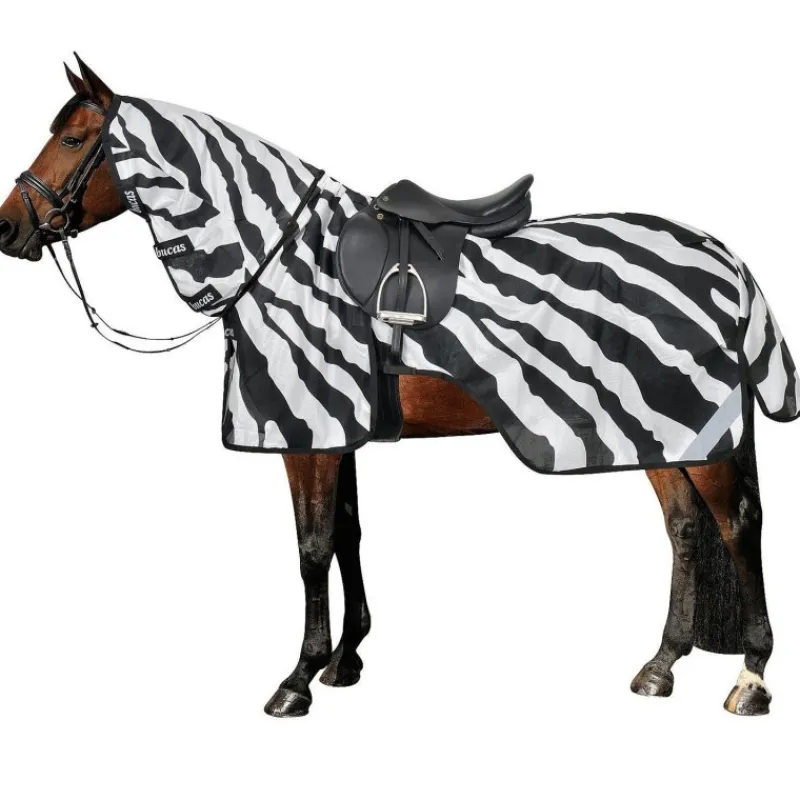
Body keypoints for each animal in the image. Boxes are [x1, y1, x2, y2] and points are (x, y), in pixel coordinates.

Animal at [0, 57, 787, 718]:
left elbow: (312, 546)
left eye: (73, 139)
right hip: (657, 434)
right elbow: (348, 533)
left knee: (736, 525)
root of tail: (727, 262)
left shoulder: (308, 430)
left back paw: (751, 677)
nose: (8, 228)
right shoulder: (342, 429)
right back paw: (661, 665)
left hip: (691, 429)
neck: (284, 257)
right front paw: (345, 660)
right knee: (685, 529)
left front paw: (298, 677)